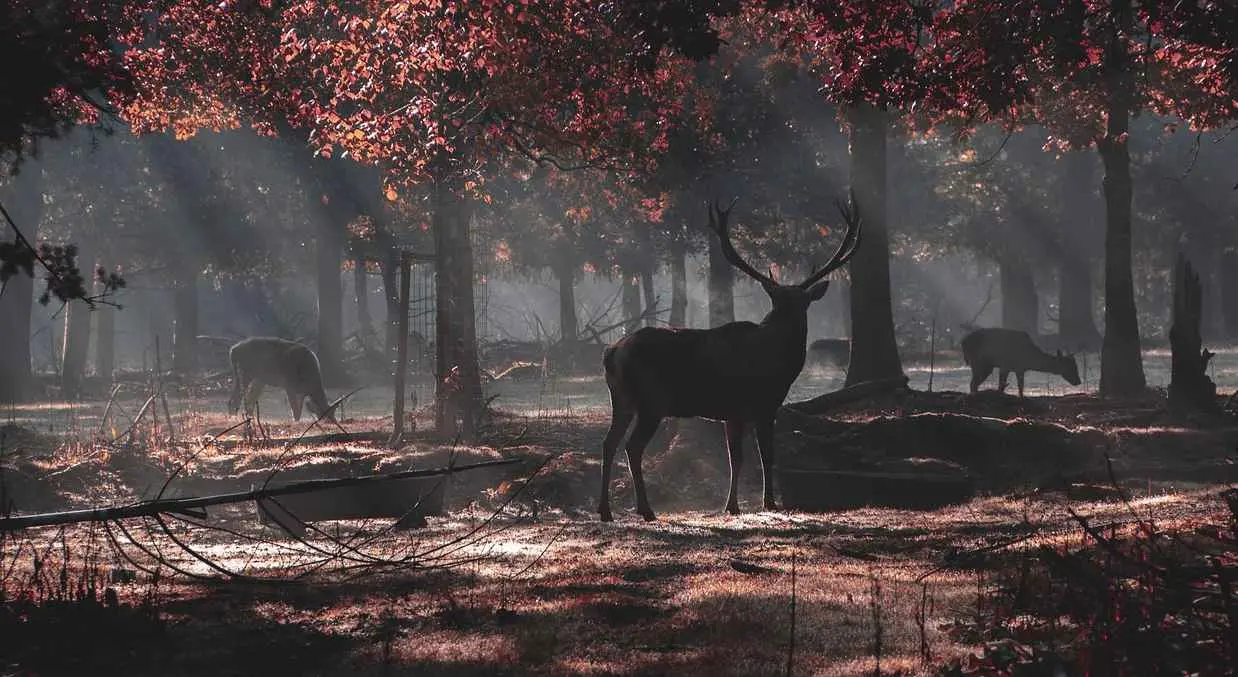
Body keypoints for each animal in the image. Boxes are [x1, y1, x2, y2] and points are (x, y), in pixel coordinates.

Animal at [598, 196, 861, 522]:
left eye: (801, 302)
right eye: (784, 301)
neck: (779, 365)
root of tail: (612, 352)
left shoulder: (731, 412)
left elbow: (735, 458)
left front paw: (733, 505)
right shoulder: (762, 404)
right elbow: (762, 455)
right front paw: (767, 502)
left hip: (621, 399)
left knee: (608, 443)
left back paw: (605, 510)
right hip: (652, 400)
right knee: (632, 447)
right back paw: (646, 510)